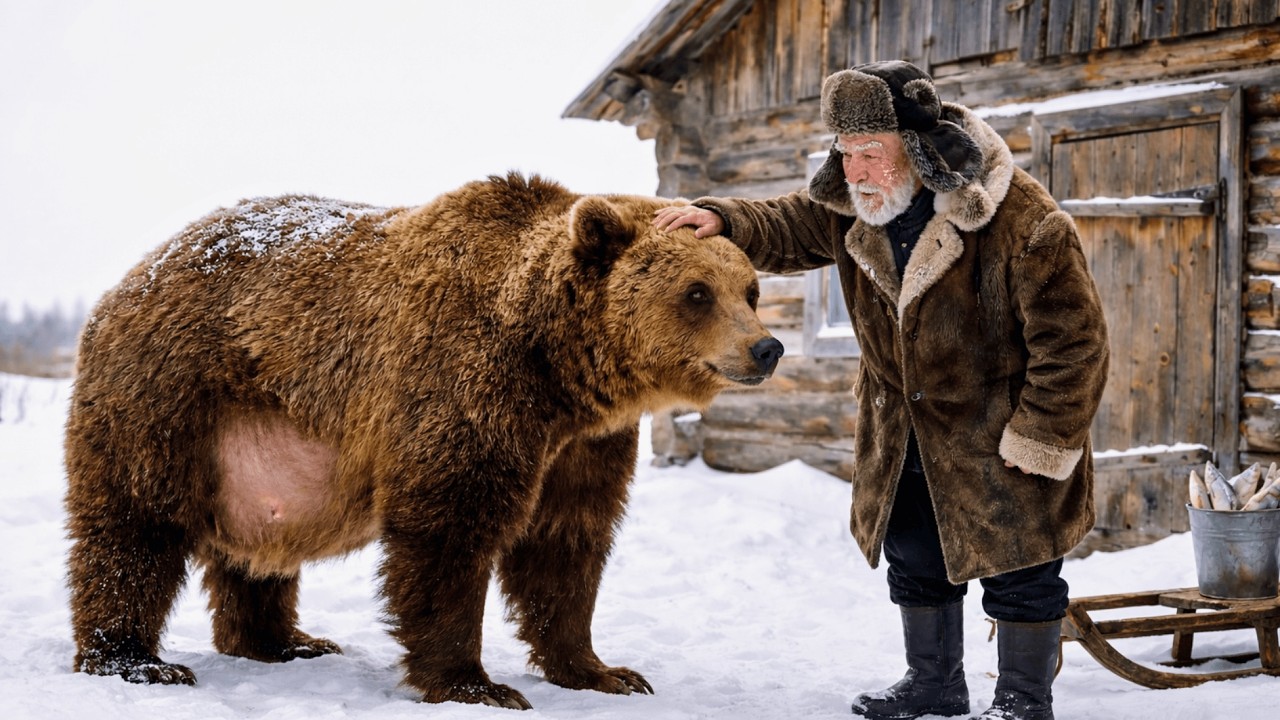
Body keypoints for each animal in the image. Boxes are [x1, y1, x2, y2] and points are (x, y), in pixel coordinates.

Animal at [63, 172, 783, 710]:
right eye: (697, 292)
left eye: (749, 290)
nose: (766, 348)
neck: (555, 365)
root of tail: (129, 279)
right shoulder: (463, 385)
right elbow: (449, 530)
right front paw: (476, 683)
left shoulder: (583, 444)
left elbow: (565, 543)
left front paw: (603, 671)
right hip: (173, 396)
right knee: (134, 527)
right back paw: (136, 659)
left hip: (251, 441)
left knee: (257, 543)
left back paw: (284, 641)